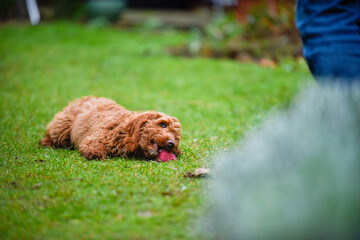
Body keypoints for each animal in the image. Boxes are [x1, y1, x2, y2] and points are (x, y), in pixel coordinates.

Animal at [40, 96, 181, 161]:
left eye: (176, 137)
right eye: (163, 124)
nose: (171, 144)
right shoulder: (96, 137)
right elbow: (92, 146)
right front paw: (95, 153)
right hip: (62, 128)